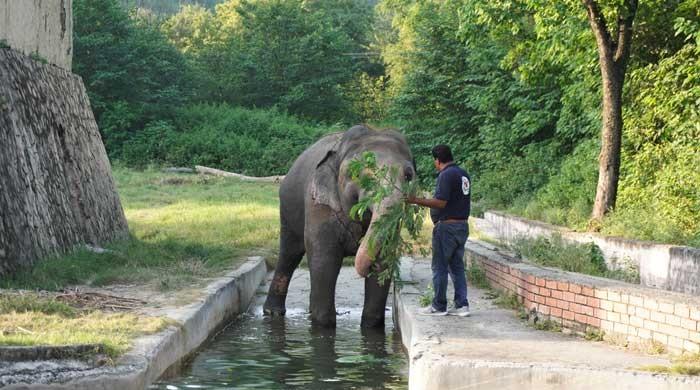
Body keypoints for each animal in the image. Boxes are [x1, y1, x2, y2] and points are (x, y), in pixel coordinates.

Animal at [262, 125, 416, 330]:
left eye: (408, 176)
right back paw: (273, 313)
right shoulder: (317, 204)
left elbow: (384, 257)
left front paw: (371, 327)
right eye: (361, 175)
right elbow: (324, 258)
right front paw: (323, 326)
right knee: (289, 254)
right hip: (288, 207)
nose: (368, 267)